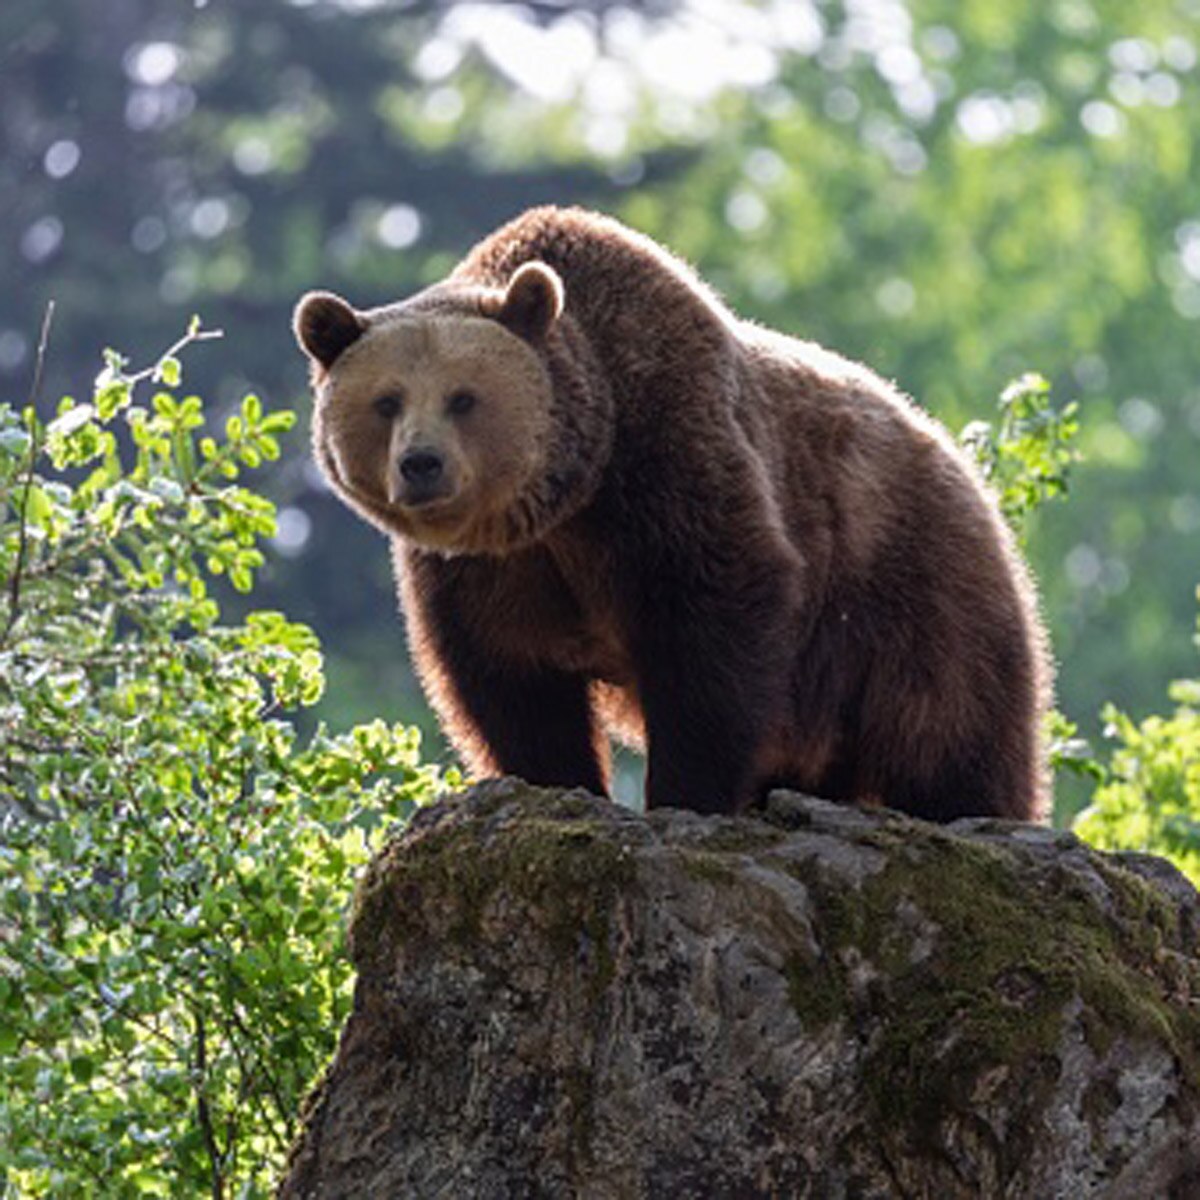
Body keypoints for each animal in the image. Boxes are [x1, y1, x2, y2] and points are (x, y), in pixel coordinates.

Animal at [293, 205, 1053, 822]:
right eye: (387, 400)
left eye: (462, 397)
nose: (421, 464)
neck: (567, 497)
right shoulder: (491, 568)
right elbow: (509, 674)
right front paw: (557, 783)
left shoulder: (666, 466)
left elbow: (713, 621)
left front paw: (686, 794)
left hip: (912, 593)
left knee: (950, 735)